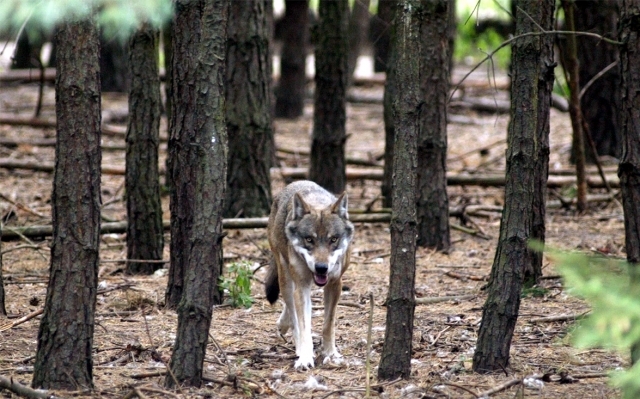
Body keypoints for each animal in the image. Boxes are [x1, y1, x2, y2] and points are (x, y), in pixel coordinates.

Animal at [264, 180, 356, 370]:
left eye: (333, 239)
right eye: (309, 239)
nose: (321, 268)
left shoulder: (335, 284)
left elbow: (328, 324)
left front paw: (330, 353)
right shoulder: (302, 287)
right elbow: (303, 326)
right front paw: (305, 357)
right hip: (285, 277)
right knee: (293, 315)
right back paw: (297, 345)